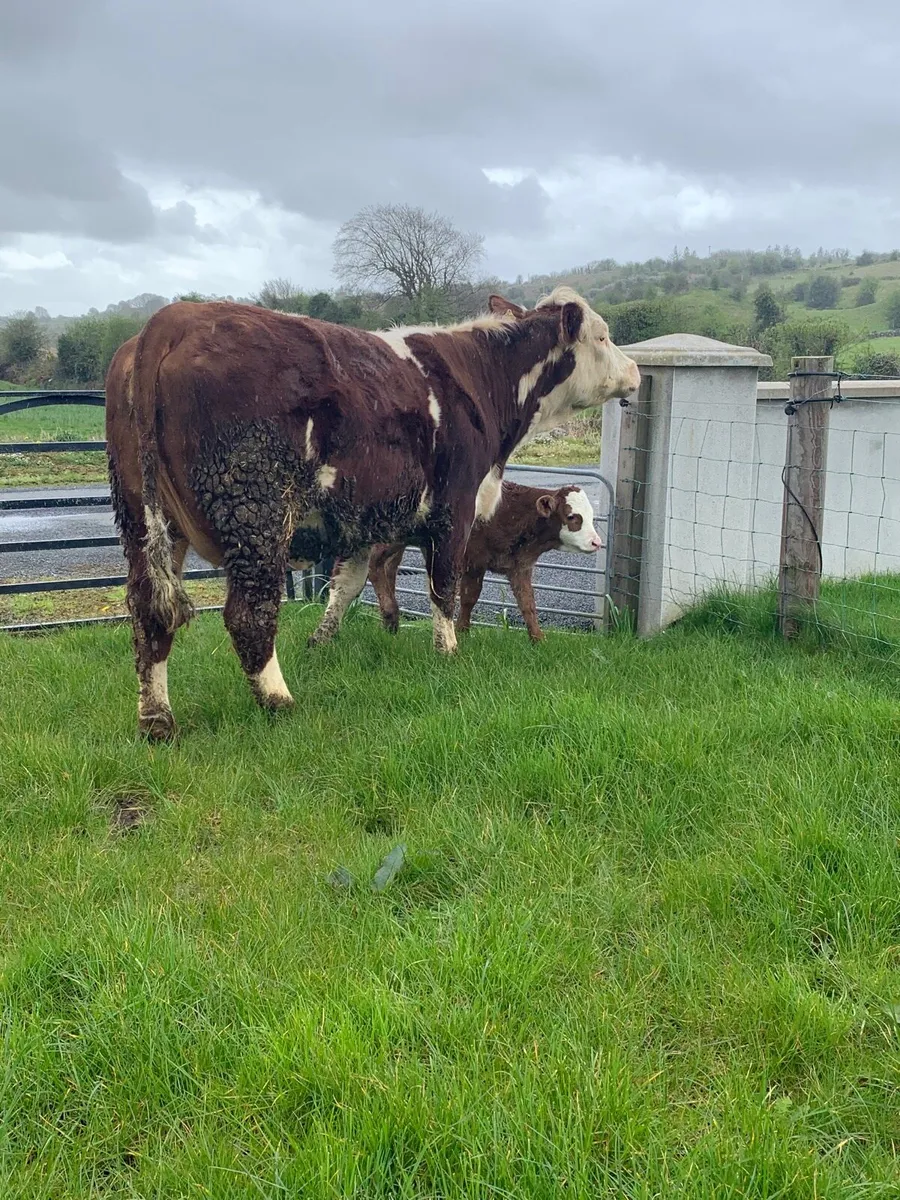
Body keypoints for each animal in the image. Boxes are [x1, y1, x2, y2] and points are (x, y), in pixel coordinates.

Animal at [367, 481, 603, 642]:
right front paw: (462, 631)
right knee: (375, 562)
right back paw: (390, 611)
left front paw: (538, 639)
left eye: (591, 516)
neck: (511, 512)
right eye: (572, 517)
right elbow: (469, 598)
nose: (596, 542)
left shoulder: (520, 566)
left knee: (390, 567)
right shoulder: (473, 562)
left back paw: (391, 624)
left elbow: (528, 603)